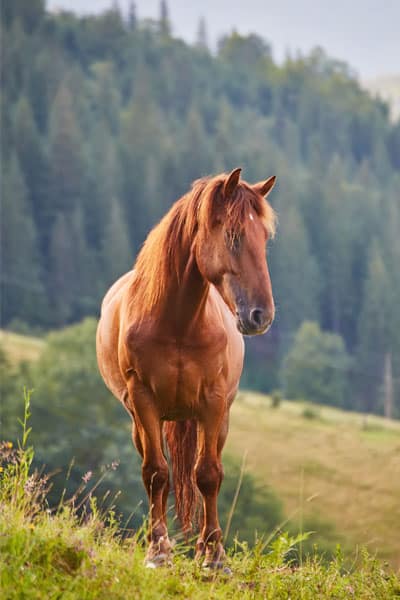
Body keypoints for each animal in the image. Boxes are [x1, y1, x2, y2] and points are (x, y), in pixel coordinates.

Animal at [95, 168, 276, 568]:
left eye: (265, 238)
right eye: (234, 235)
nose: (262, 316)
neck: (177, 323)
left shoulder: (213, 401)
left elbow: (207, 475)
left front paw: (214, 556)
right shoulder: (144, 401)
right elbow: (156, 473)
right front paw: (158, 550)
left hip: (218, 421)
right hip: (143, 421)